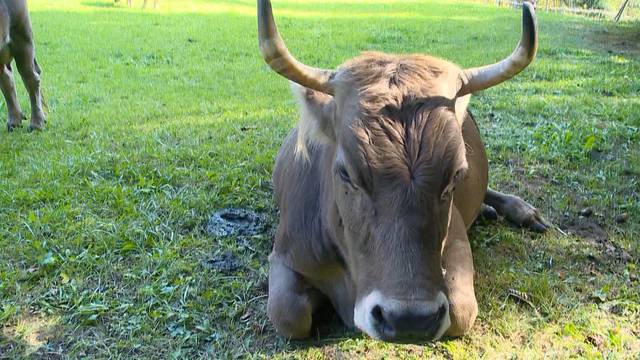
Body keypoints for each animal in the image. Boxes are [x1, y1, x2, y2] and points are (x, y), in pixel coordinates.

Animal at [258, 0, 548, 342]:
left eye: (456, 175)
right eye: (346, 173)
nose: (410, 320)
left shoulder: (456, 240)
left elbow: (461, 312)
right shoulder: (286, 253)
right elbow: (289, 314)